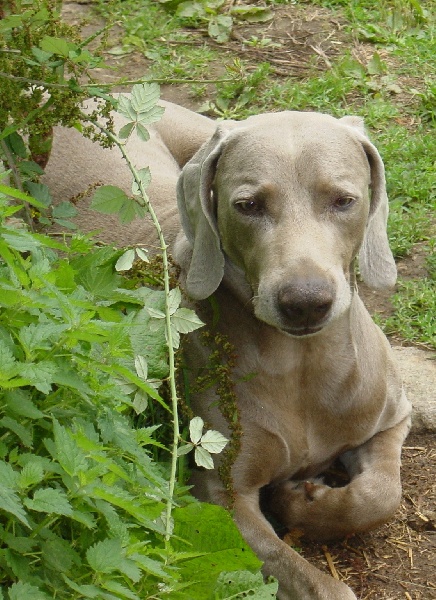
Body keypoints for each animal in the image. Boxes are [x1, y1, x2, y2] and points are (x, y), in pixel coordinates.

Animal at [44, 101, 412, 596]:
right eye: (248, 206)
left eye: (343, 200)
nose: (305, 301)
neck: (303, 363)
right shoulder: (222, 496)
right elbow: (314, 580)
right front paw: (294, 504)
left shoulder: (394, 415)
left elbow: (380, 495)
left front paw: (302, 501)